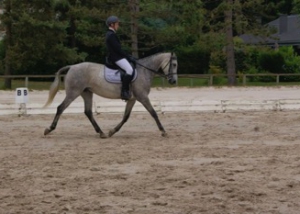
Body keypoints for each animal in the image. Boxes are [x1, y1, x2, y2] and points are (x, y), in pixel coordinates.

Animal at [42, 52, 178, 138]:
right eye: (174, 64)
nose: (173, 81)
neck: (143, 71)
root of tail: (72, 67)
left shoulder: (132, 99)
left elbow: (126, 117)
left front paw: (112, 131)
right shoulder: (143, 97)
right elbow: (153, 113)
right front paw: (163, 131)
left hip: (86, 93)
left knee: (88, 112)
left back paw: (101, 133)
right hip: (73, 92)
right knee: (61, 108)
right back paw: (49, 129)